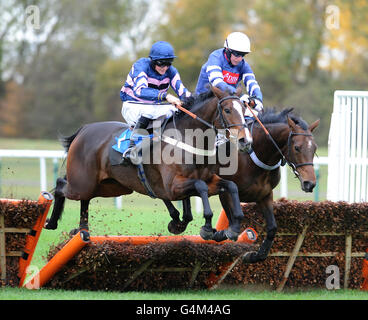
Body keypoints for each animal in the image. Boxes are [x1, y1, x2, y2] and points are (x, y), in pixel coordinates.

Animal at [44, 86, 249, 241]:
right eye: (228, 110)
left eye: (244, 110)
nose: (244, 140)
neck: (188, 138)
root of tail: (84, 129)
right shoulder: (173, 187)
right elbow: (201, 187)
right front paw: (206, 227)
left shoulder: (205, 179)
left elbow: (230, 186)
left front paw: (234, 226)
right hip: (83, 183)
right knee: (62, 185)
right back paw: (52, 222)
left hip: (112, 186)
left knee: (85, 197)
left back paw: (82, 230)